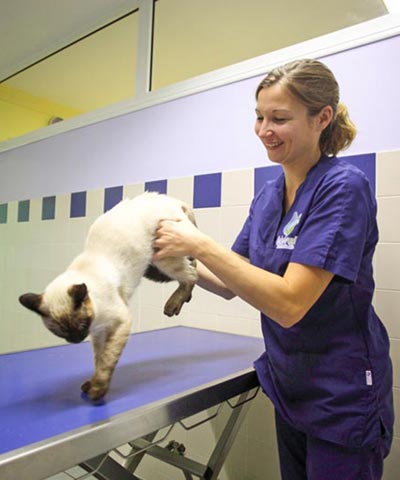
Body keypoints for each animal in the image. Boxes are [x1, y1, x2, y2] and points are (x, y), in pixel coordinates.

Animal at [19, 193, 198, 400]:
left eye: (81, 326)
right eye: (61, 332)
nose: (76, 339)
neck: (96, 322)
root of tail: (172, 200)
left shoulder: (120, 322)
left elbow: (107, 359)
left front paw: (98, 389)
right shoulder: (99, 333)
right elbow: (99, 358)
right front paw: (92, 383)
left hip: (164, 258)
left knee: (192, 275)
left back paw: (174, 304)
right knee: (194, 264)